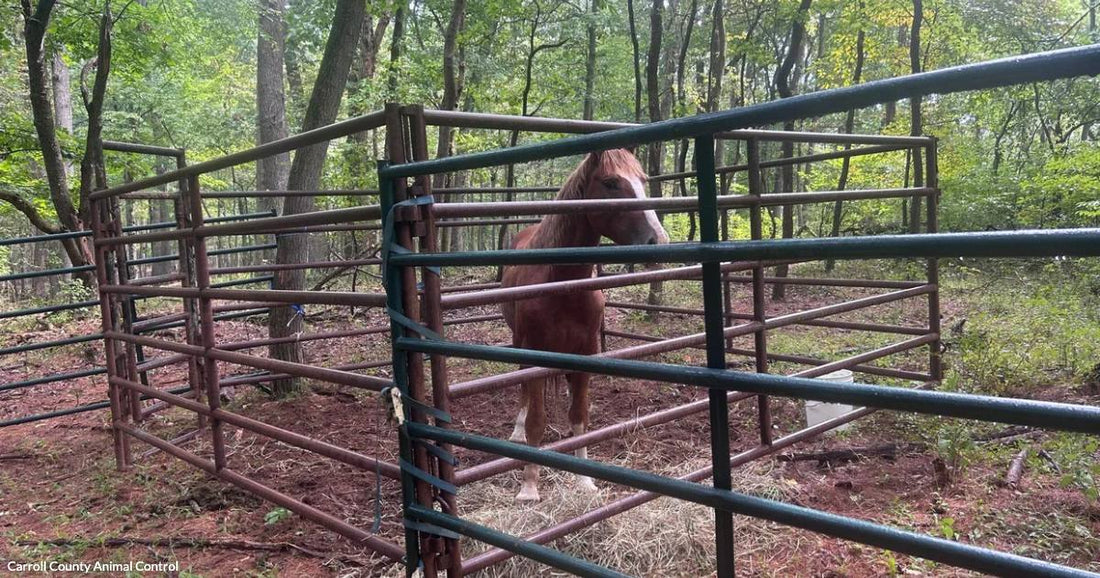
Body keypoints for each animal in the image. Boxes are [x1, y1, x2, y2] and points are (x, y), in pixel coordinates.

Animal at [501, 148, 669, 501]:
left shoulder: (585, 352)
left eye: (643, 180)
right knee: (523, 394)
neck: (562, 283)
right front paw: (529, 487)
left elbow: (579, 416)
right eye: (611, 182)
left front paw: (584, 481)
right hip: (520, 344)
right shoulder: (534, 352)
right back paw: (517, 431)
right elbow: (536, 419)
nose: (658, 240)